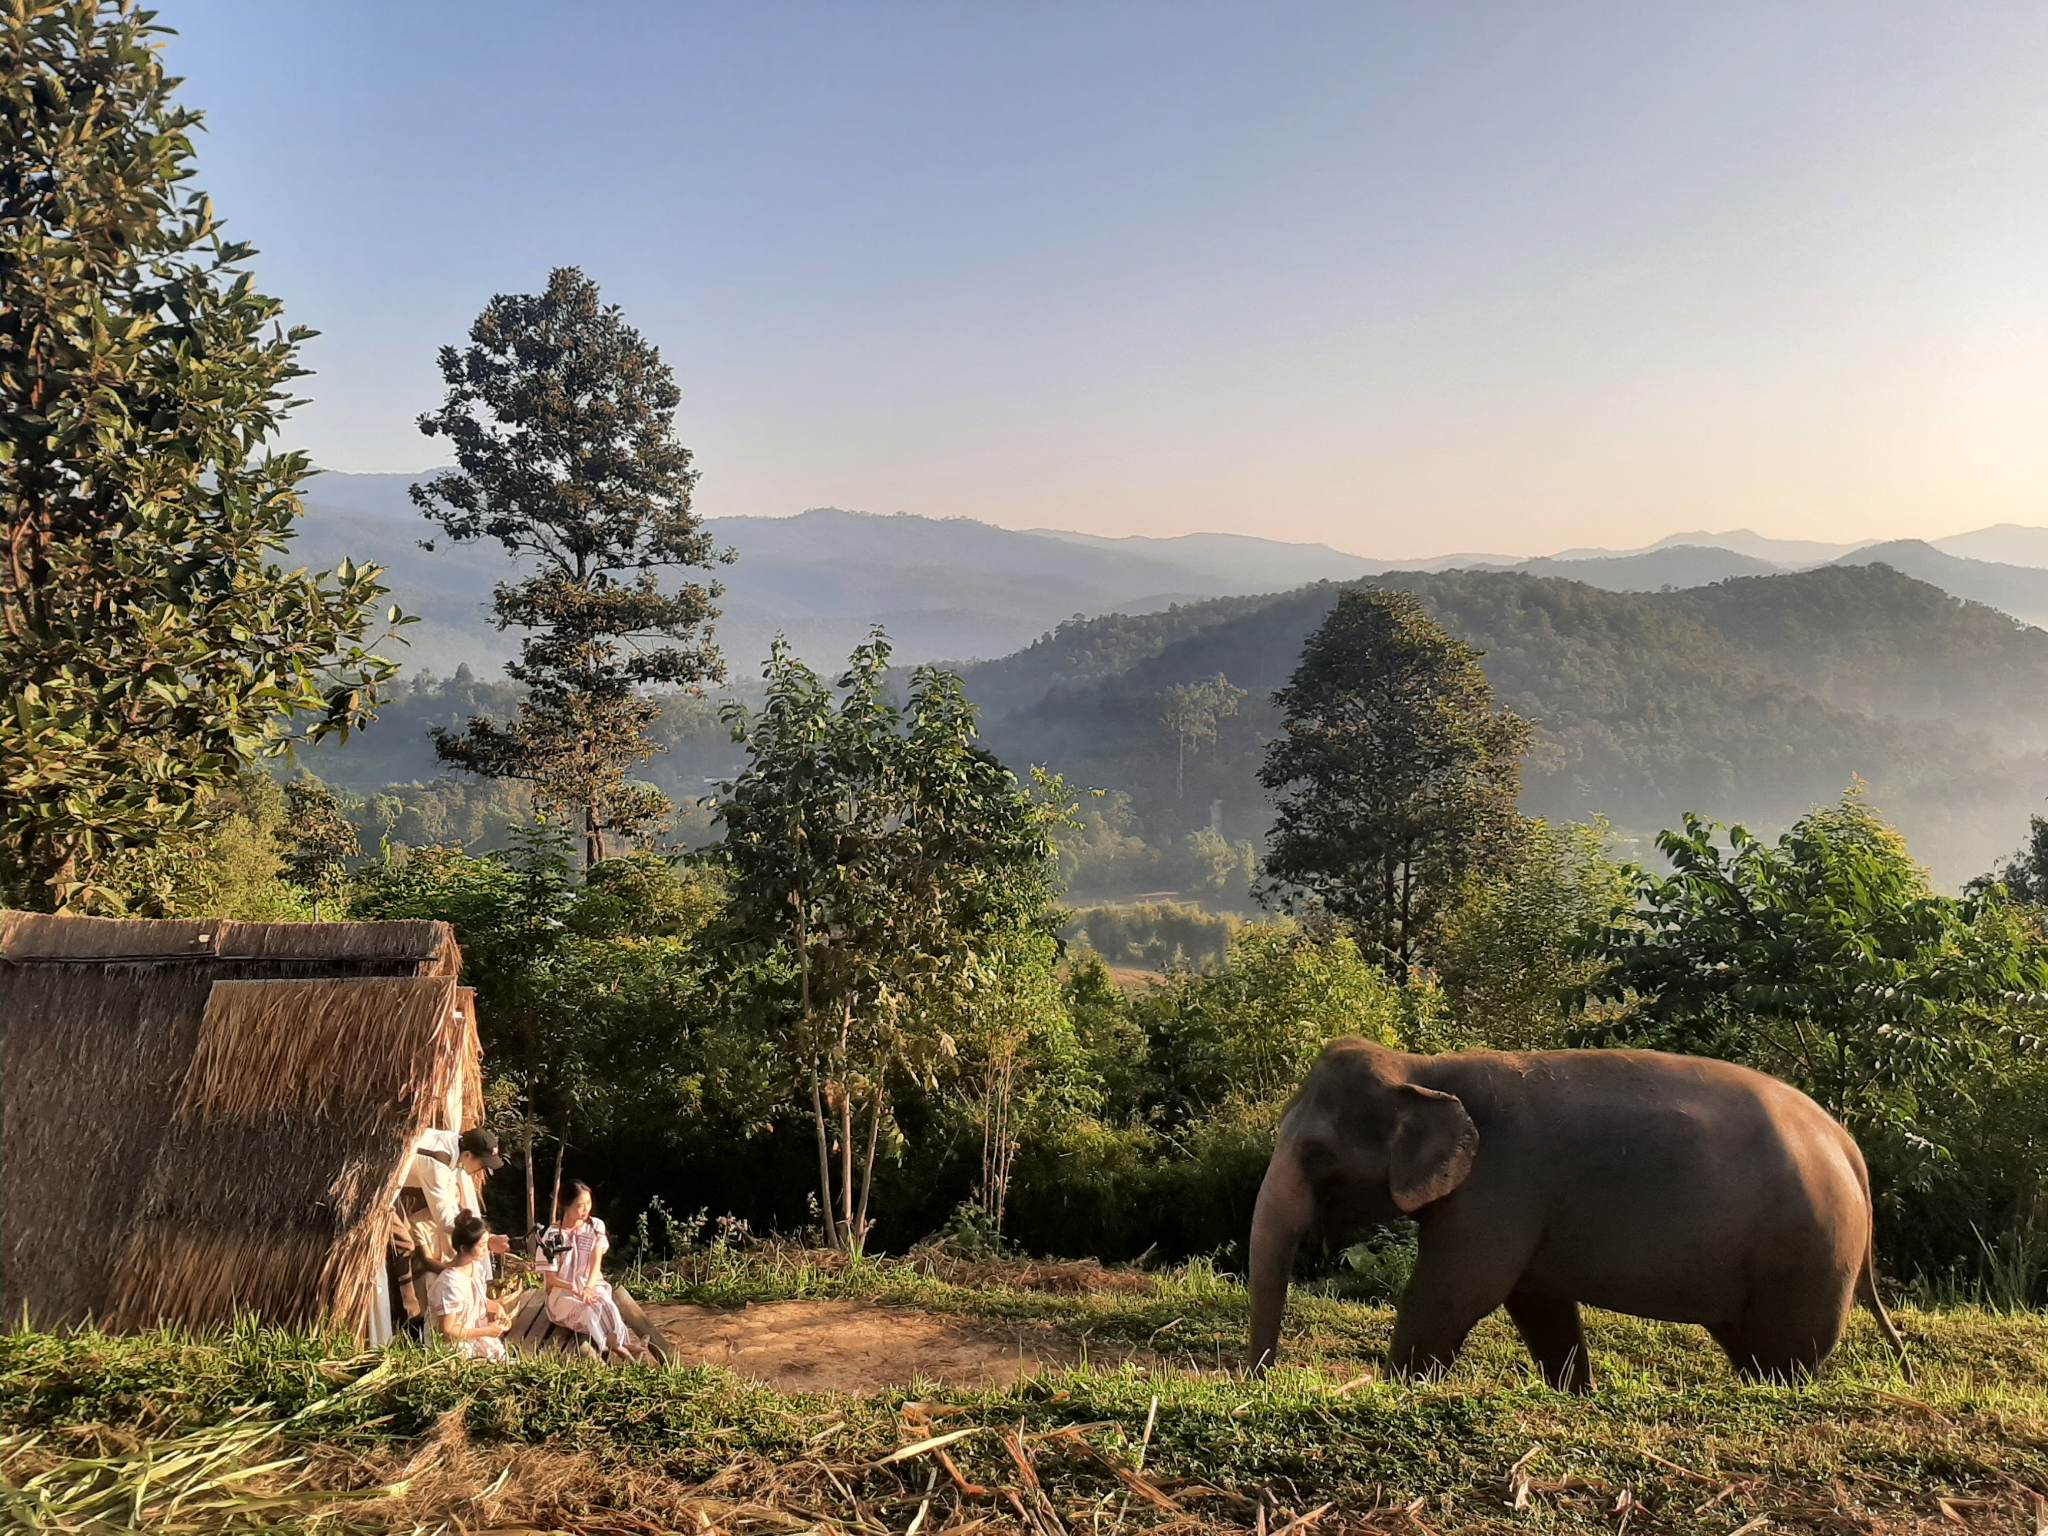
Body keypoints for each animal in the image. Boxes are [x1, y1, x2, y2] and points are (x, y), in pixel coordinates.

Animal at [1247, 1038, 1910, 1390]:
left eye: (1315, 1153)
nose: (1261, 1380)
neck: (1424, 1068)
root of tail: (1848, 1146)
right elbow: (1536, 1303)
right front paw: (1576, 1391)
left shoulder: (1500, 1187)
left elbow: (1454, 1293)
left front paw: (1398, 1390)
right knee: (1748, 1341)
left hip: (1810, 1255)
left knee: (1789, 1353)